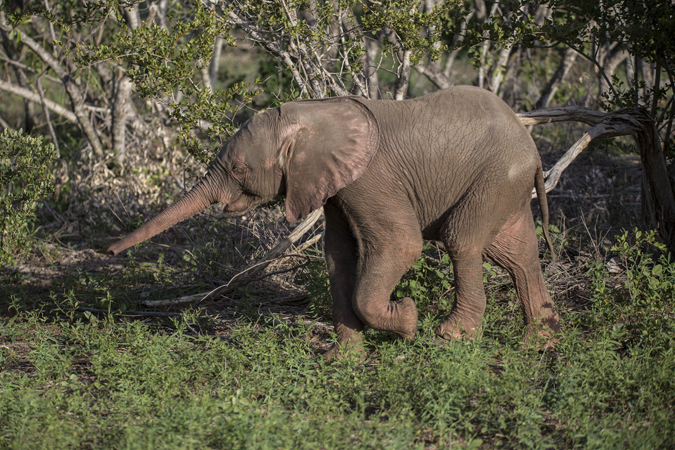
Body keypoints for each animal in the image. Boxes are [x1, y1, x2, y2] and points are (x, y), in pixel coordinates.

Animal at [108, 85, 564, 358]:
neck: (312, 114)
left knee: (463, 240)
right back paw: (538, 344)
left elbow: (400, 244)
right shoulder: (332, 185)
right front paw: (343, 359)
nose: (108, 252)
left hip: (496, 177)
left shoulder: (370, 179)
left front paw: (408, 320)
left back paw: (451, 337)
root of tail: (531, 146)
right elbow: (338, 258)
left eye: (238, 169)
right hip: (504, 184)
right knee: (517, 254)